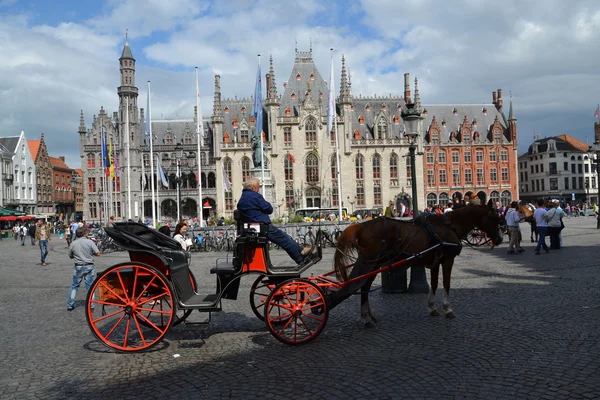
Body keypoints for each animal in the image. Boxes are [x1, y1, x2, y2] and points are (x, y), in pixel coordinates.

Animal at [330, 198, 504, 326]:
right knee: (362, 287)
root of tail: (362, 226)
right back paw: (366, 318)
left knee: (362, 286)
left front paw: (432, 307)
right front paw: (448, 309)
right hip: (372, 263)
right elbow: (447, 284)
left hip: (373, 264)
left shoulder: (436, 261)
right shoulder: (448, 259)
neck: (450, 225)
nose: (500, 239)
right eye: (495, 218)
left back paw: (369, 316)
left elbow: (434, 284)